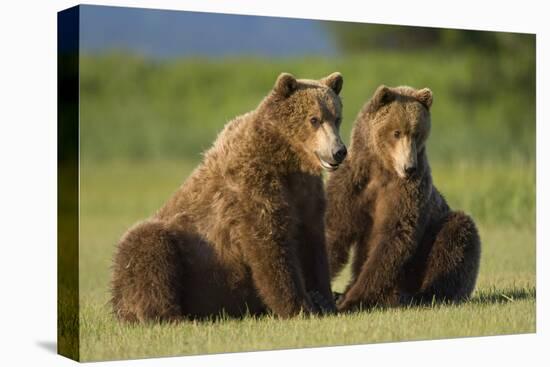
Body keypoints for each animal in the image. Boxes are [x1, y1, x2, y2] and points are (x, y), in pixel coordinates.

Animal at [110, 71, 348, 322]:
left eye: (337, 118)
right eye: (314, 119)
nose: (338, 151)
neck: (287, 160)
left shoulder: (305, 194)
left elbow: (313, 244)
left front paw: (324, 299)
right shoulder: (252, 184)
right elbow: (269, 243)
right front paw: (299, 307)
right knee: (145, 248)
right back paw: (170, 315)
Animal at [328, 84, 484, 310]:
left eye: (417, 133)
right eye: (396, 132)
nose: (409, 167)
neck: (383, 170)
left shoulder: (409, 193)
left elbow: (393, 240)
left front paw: (354, 299)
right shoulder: (352, 185)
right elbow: (335, 229)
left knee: (456, 235)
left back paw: (415, 295)